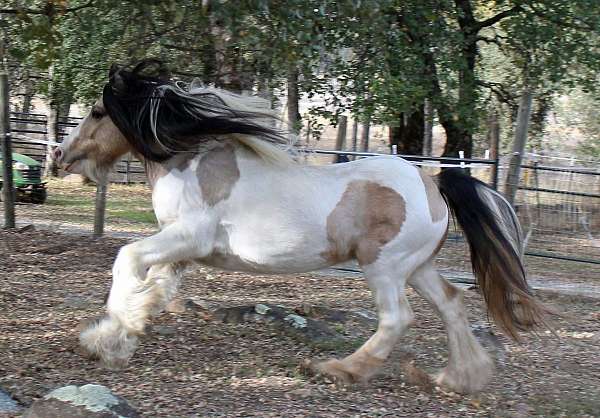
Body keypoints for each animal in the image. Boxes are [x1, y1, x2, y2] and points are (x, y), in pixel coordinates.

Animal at [54, 60, 552, 394]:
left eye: (97, 111)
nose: (59, 154)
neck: (191, 160)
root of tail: (432, 181)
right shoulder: (183, 253)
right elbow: (153, 290)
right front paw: (115, 337)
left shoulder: (186, 238)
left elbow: (127, 260)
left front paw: (103, 340)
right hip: (417, 267)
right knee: (450, 303)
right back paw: (460, 377)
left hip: (385, 267)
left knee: (397, 318)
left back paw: (339, 369)